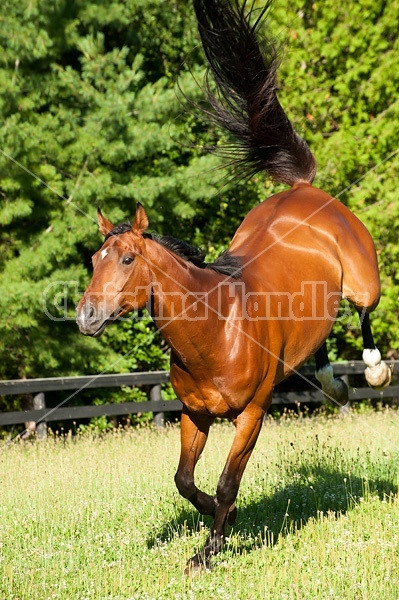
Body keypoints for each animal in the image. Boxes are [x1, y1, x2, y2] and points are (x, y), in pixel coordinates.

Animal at [76, 0, 390, 572]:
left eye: (127, 258)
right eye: (94, 259)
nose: (85, 317)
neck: (216, 330)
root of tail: (303, 190)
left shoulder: (251, 415)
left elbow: (226, 481)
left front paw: (209, 550)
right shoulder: (193, 414)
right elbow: (184, 480)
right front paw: (225, 523)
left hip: (365, 283)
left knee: (362, 311)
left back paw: (374, 369)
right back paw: (331, 379)